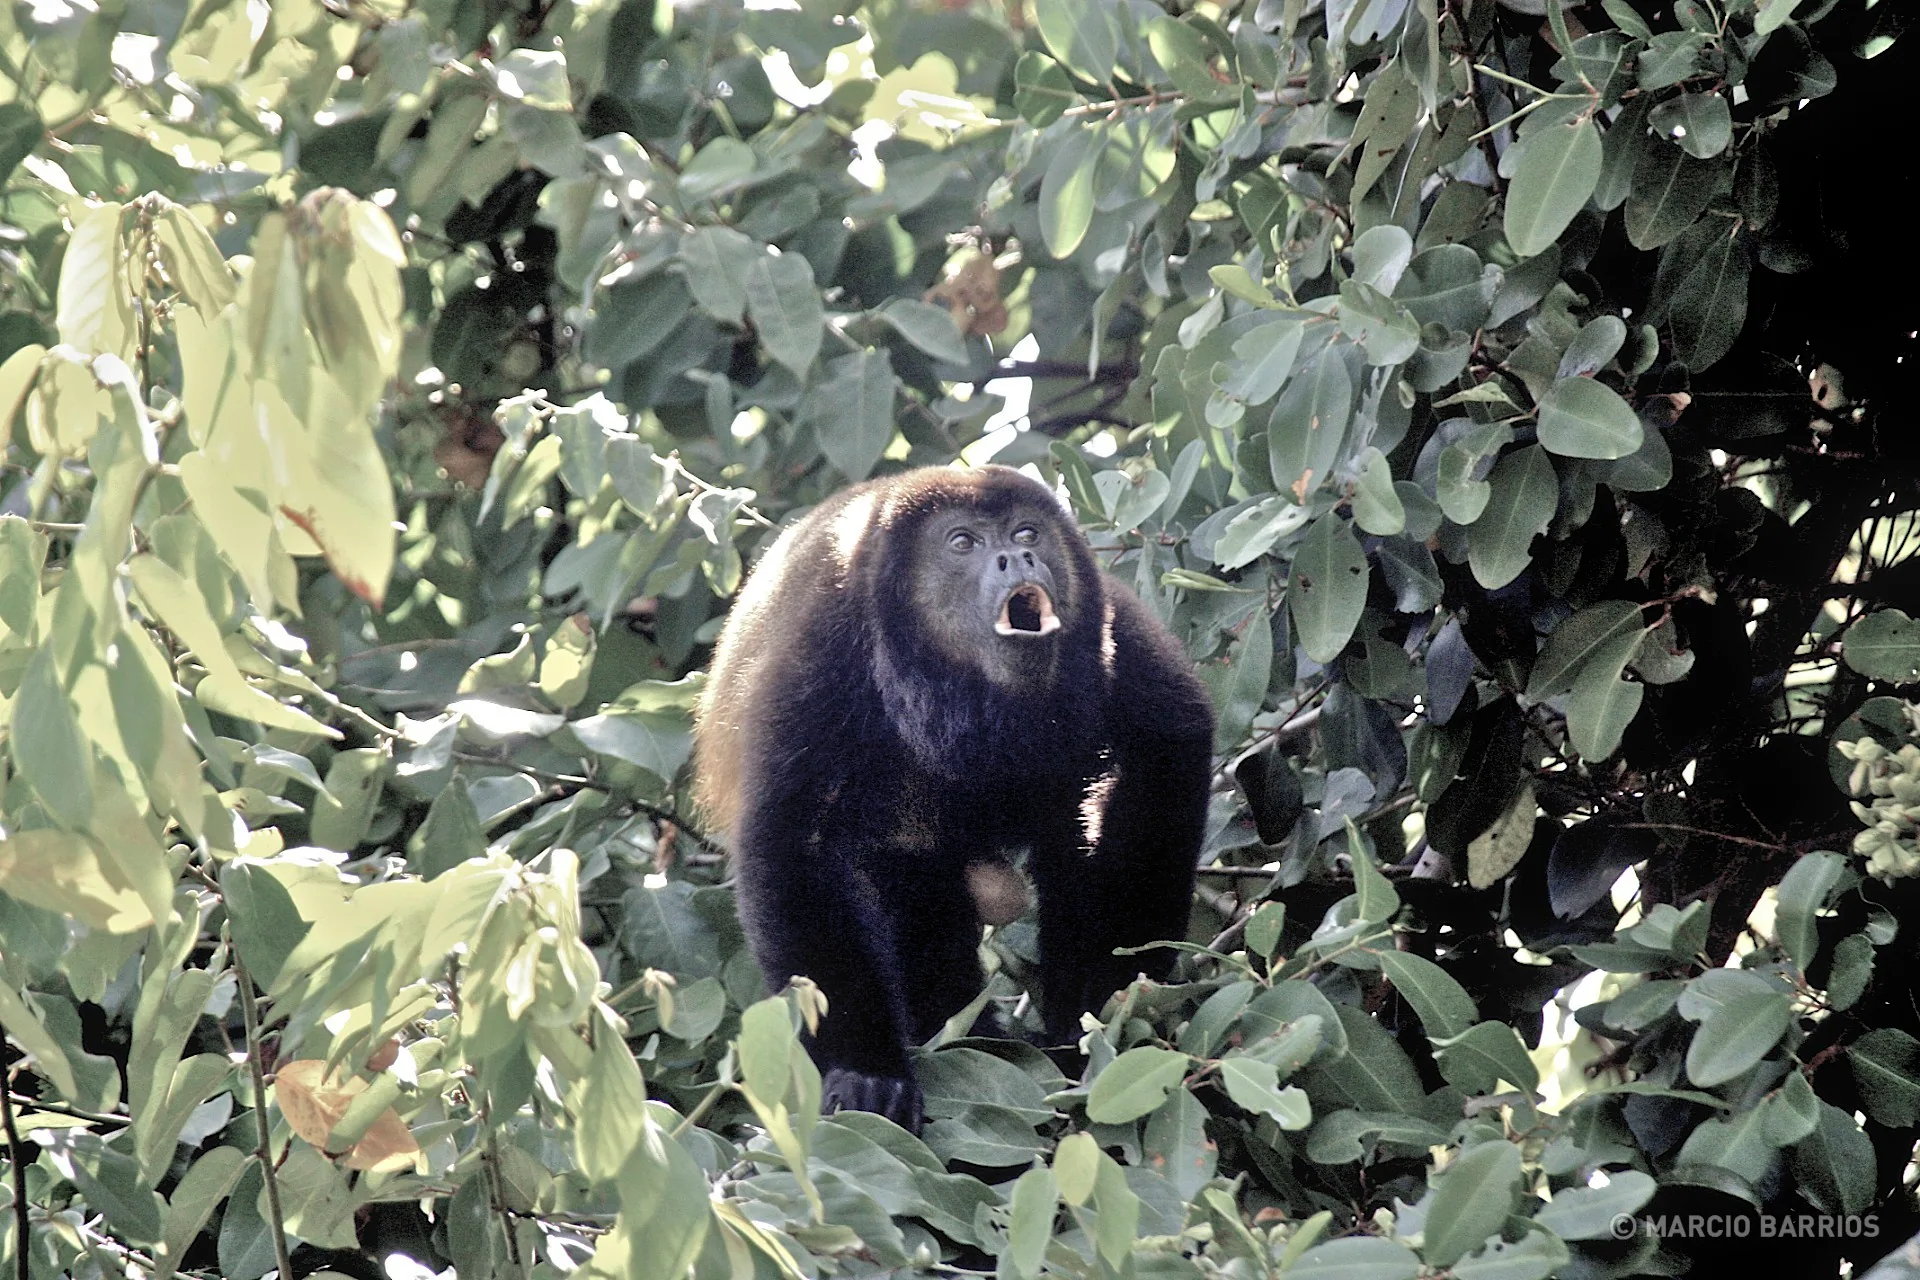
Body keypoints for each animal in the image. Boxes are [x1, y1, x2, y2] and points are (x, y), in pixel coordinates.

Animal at [693, 465, 1214, 1131]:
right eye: (962, 543)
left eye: (1027, 532)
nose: (1018, 557)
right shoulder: (819, 652)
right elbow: (790, 845)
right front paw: (867, 1073)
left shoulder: (1109, 625)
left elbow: (1171, 739)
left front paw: (1117, 993)